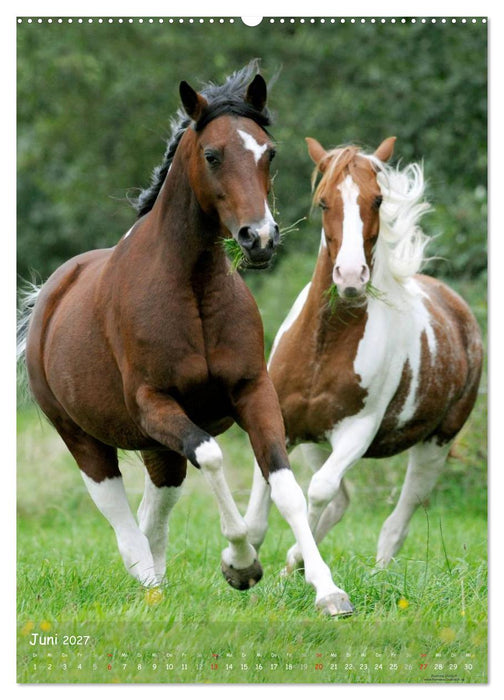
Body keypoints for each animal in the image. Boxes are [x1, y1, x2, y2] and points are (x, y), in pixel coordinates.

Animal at [17, 63, 350, 616]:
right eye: (212, 155)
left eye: (269, 152)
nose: (260, 239)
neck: (190, 286)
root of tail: (47, 298)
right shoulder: (155, 403)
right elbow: (213, 456)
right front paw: (241, 564)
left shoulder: (253, 393)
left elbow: (286, 488)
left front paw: (328, 591)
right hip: (85, 439)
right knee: (120, 515)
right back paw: (148, 583)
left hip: (159, 449)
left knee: (156, 507)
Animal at [244, 135, 483, 614]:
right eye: (323, 202)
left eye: (377, 199)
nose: (351, 277)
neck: (323, 346)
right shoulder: (282, 423)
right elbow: (274, 498)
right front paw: (249, 564)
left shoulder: (358, 431)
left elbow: (318, 491)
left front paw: (313, 576)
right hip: (316, 443)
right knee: (341, 502)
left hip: (435, 445)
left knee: (396, 517)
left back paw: (366, 569)